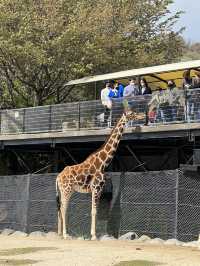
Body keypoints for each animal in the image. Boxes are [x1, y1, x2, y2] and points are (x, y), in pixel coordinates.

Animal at [55, 109, 145, 239]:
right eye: (132, 113)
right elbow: (94, 211)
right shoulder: (96, 188)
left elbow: (96, 211)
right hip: (66, 189)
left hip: (66, 190)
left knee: (60, 207)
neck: (103, 163)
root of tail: (58, 177)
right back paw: (65, 234)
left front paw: (94, 234)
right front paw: (94, 236)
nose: (143, 115)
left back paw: (59, 233)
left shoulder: (99, 189)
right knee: (63, 208)